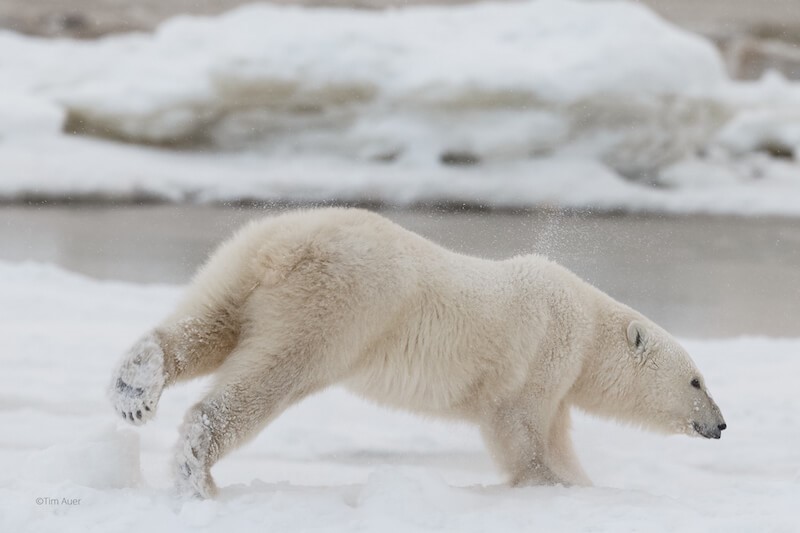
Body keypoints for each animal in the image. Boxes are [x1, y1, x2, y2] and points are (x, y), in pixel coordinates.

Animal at [109, 207, 728, 494]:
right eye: (697, 380)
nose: (720, 424)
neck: (588, 321)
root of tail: (284, 249)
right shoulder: (543, 355)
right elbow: (520, 428)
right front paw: (551, 483)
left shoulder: (560, 379)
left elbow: (554, 433)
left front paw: (578, 481)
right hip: (338, 304)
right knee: (269, 378)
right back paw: (197, 471)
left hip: (240, 262)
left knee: (205, 324)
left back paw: (135, 389)